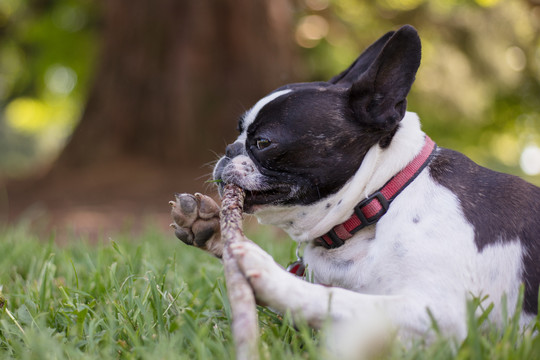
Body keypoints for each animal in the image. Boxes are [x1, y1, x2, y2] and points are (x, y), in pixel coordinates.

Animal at [170, 24, 540, 354]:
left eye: (263, 142)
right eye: (238, 130)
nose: (229, 150)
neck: (381, 200)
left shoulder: (438, 313)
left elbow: (337, 299)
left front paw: (264, 270)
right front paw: (212, 230)